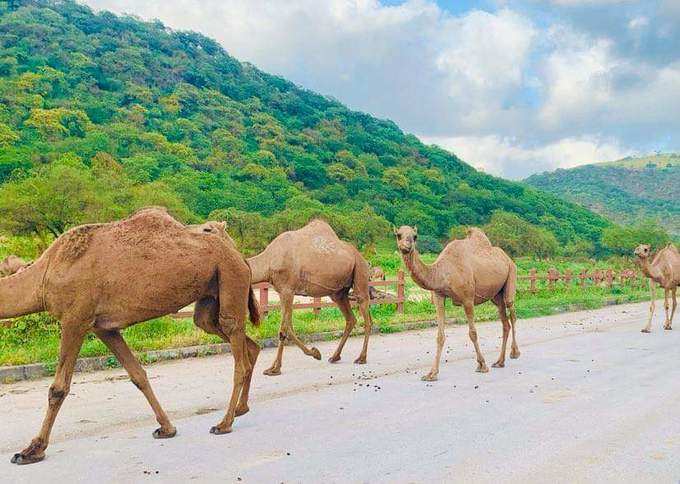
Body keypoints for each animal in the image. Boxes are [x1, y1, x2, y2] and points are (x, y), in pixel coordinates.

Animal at [3, 208, 260, 466]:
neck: (44, 275)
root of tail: (241, 257)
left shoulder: (75, 320)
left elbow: (58, 388)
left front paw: (31, 450)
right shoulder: (103, 328)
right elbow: (138, 375)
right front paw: (167, 428)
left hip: (230, 278)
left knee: (237, 350)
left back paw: (224, 423)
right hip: (209, 301)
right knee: (240, 340)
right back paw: (241, 408)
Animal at [248, 219, 374, 374]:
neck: (268, 261)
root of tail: (363, 258)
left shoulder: (288, 290)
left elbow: (284, 329)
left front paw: (314, 354)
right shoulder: (282, 291)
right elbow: (288, 327)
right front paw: (272, 367)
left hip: (360, 271)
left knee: (366, 316)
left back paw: (361, 358)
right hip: (338, 292)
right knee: (351, 319)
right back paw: (335, 357)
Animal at [394, 225, 520, 380]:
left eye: (415, 236)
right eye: (398, 235)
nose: (406, 246)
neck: (442, 272)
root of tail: (507, 258)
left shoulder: (468, 299)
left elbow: (473, 333)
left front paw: (482, 365)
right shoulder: (439, 296)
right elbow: (440, 336)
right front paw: (431, 374)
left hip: (511, 274)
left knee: (512, 312)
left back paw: (515, 353)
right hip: (496, 295)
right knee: (505, 322)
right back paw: (499, 362)